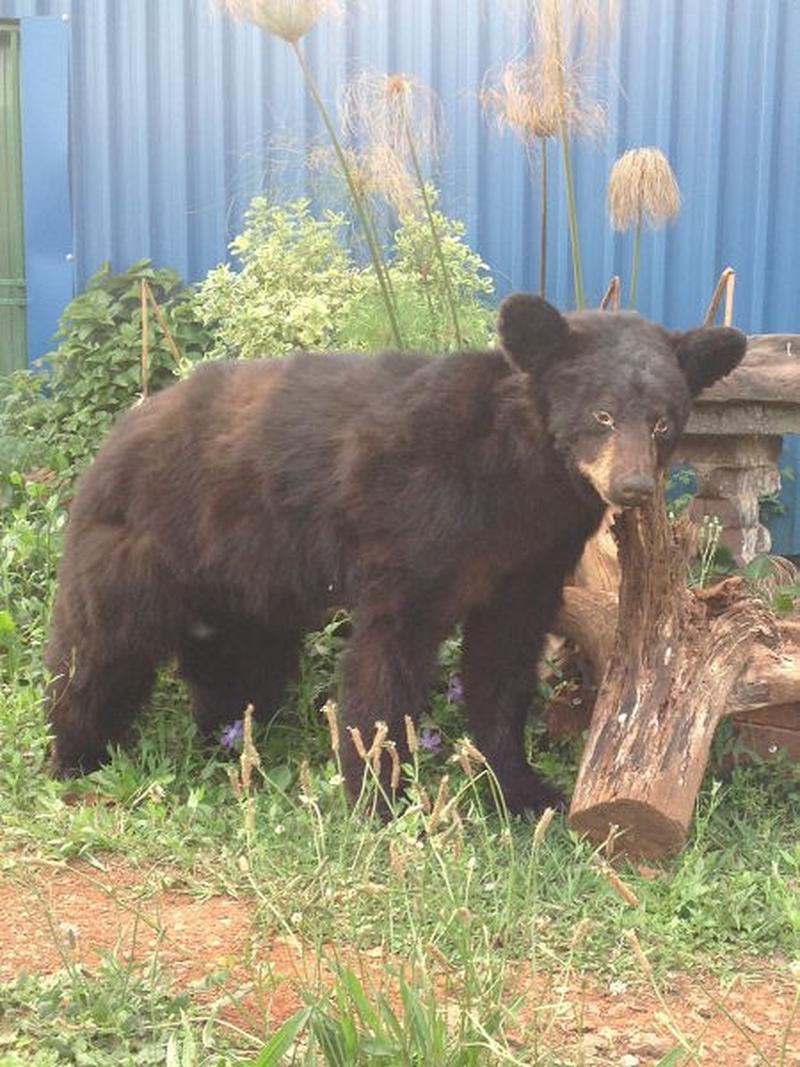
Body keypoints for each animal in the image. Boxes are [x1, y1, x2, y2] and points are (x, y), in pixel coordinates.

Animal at [46, 294, 746, 814]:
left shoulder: (532, 558)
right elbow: (388, 658)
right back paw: (75, 755)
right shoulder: (414, 521)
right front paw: (378, 794)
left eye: (662, 421)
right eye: (601, 414)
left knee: (237, 661)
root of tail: (124, 426)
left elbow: (503, 663)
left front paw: (522, 788)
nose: (633, 487)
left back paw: (229, 735)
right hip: (145, 548)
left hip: (243, 582)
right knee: (98, 649)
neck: (515, 482)